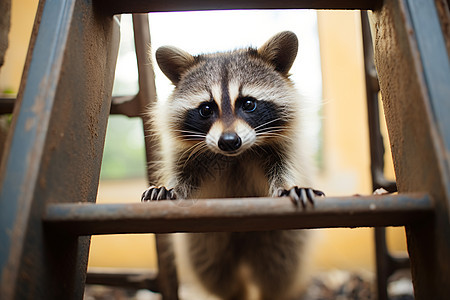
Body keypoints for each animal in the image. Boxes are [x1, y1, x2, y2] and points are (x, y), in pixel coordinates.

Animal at [142, 31, 322, 300]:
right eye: (206, 109)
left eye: (248, 104)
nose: (229, 142)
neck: (235, 155)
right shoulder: (185, 154)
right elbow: (184, 175)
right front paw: (171, 187)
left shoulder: (285, 147)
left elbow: (284, 166)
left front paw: (289, 185)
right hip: (206, 241)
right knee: (216, 275)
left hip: (283, 237)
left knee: (278, 273)